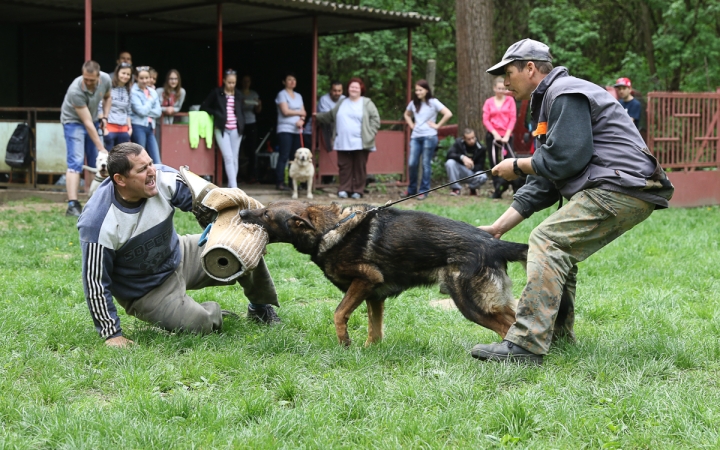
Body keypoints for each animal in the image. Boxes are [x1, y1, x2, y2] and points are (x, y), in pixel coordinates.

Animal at [239, 202, 524, 346]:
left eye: (266, 214)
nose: (241, 212)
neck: (330, 228)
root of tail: (493, 244)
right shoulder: (374, 296)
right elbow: (374, 331)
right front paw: (367, 352)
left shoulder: (366, 279)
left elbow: (339, 313)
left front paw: (345, 343)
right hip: (489, 302)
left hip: (471, 304)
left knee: (507, 327)